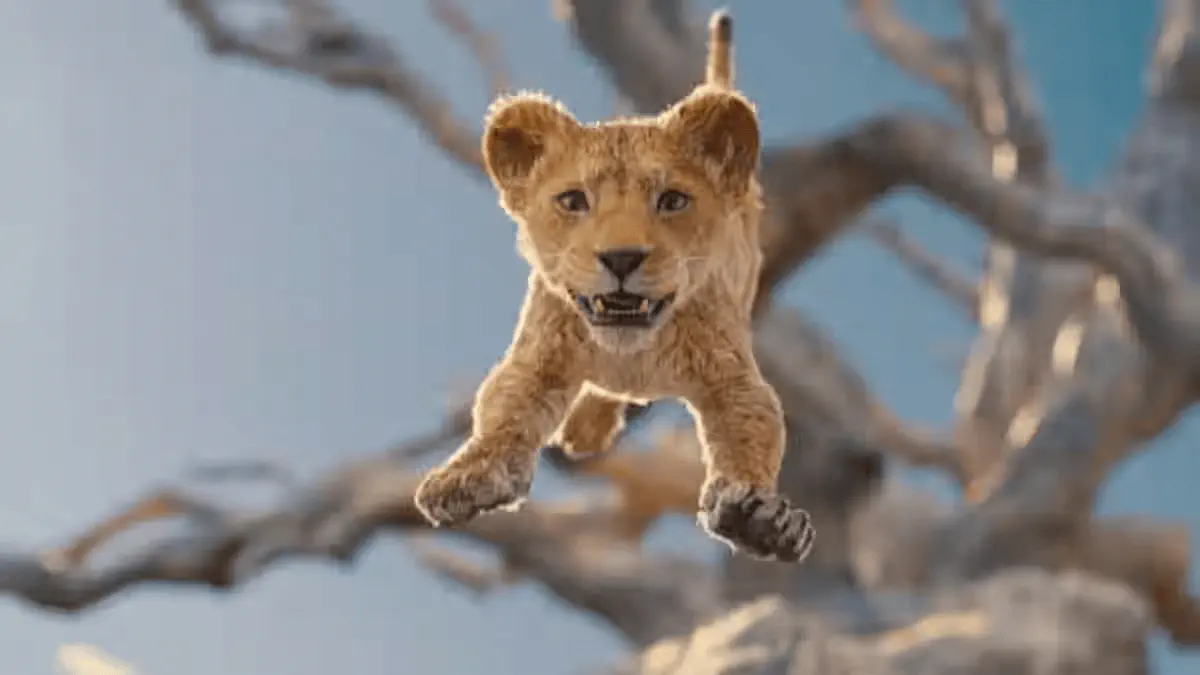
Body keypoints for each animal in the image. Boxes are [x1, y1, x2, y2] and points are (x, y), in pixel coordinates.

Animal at [413, 10, 814, 562]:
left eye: (672, 200)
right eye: (573, 200)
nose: (621, 257)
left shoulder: (732, 378)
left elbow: (752, 434)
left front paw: (760, 518)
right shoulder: (538, 359)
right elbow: (501, 413)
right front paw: (465, 477)